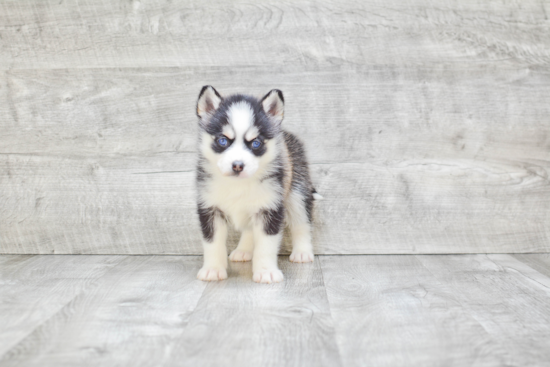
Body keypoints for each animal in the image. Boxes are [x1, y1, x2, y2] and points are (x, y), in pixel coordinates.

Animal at [195, 86, 322, 284]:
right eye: (223, 140)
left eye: (256, 143)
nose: (237, 165)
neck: (238, 184)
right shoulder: (210, 208)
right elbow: (212, 243)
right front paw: (213, 270)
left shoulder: (270, 208)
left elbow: (266, 245)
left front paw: (266, 271)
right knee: (249, 229)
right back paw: (243, 250)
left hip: (297, 191)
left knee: (301, 223)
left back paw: (302, 252)